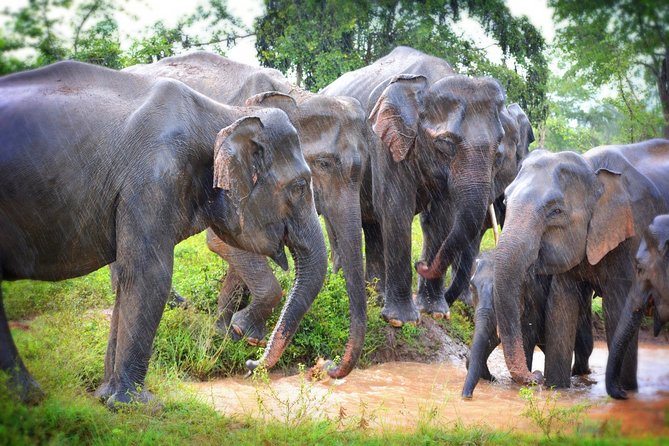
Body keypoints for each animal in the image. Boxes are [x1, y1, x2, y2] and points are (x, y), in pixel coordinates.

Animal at [0, 60, 327, 407]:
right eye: (299, 186)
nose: (251, 361)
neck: (225, 113)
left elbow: (128, 280)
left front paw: (106, 397)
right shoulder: (152, 181)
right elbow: (149, 274)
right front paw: (137, 404)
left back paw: (28, 396)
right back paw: (31, 397)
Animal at [125, 52, 369, 378]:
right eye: (325, 164)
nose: (326, 365)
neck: (296, 96)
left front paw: (224, 331)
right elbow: (221, 242)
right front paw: (241, 333)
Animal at [321, 46, 507, 327]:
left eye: (499, 147)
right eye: (446, 143)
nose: (420, 264)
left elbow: (442, 217)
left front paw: (435, 312)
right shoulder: (383, 140)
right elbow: (396, 209)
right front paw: (402, 321)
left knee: (373, 226)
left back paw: (375, 295)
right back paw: (344, 285)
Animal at [462, 250, 593, 399]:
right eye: (471, 287)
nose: (467, 396)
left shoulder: (532, 298)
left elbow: (525, 341)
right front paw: (491, 378)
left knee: (584, 346)